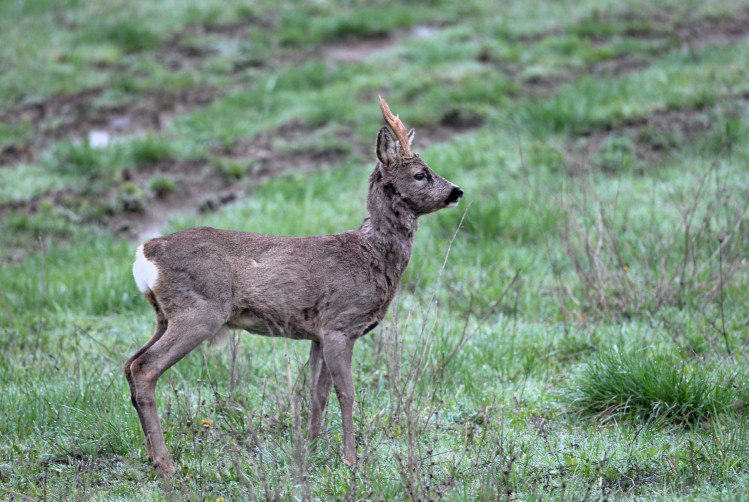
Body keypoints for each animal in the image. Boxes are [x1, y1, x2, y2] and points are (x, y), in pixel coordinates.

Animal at [124, 96, 462, 472]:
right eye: (420, 174)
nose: (457, 191)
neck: (371, 256)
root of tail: (145, 252)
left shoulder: (318, 333)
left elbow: (317, 394)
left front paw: (310, 450)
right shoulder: (340, 324)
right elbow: (347, 393)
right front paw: (351, 459)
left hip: (164, 315)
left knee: (129, 364)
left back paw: (153, 455)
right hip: (200, 311)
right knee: (144, 368)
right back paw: (164, 463)